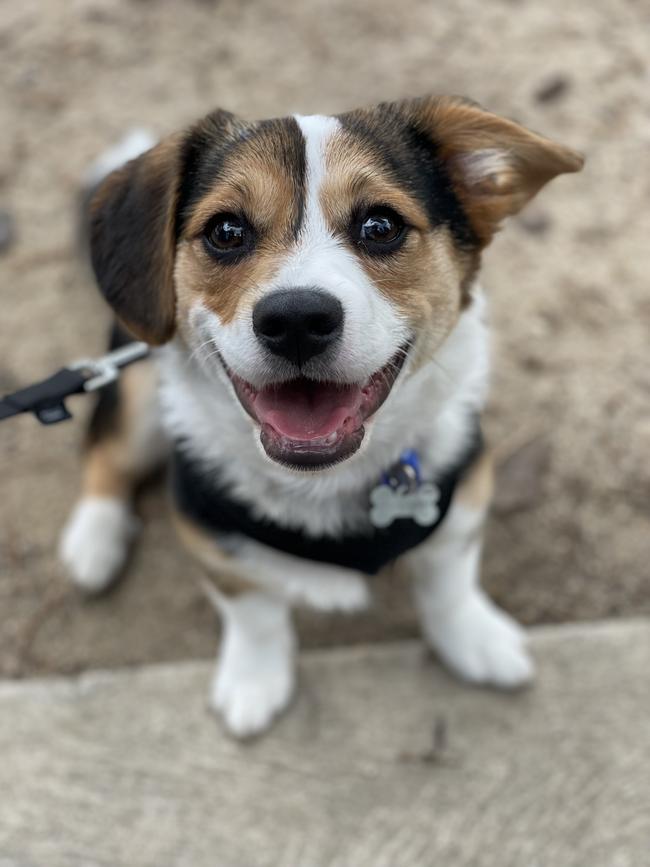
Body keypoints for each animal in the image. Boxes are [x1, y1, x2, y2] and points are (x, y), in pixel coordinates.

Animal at [58, 100, 580, 740]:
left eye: (380, 226)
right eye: (226, 231)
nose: (297, 320)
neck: (323, 476)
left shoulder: (463, 493)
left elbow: (448, 580)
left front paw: (473, 639)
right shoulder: (211, 537)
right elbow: (254, 612)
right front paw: (254, 680)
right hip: (135, 386)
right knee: (106, 452)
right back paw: (93, 540)